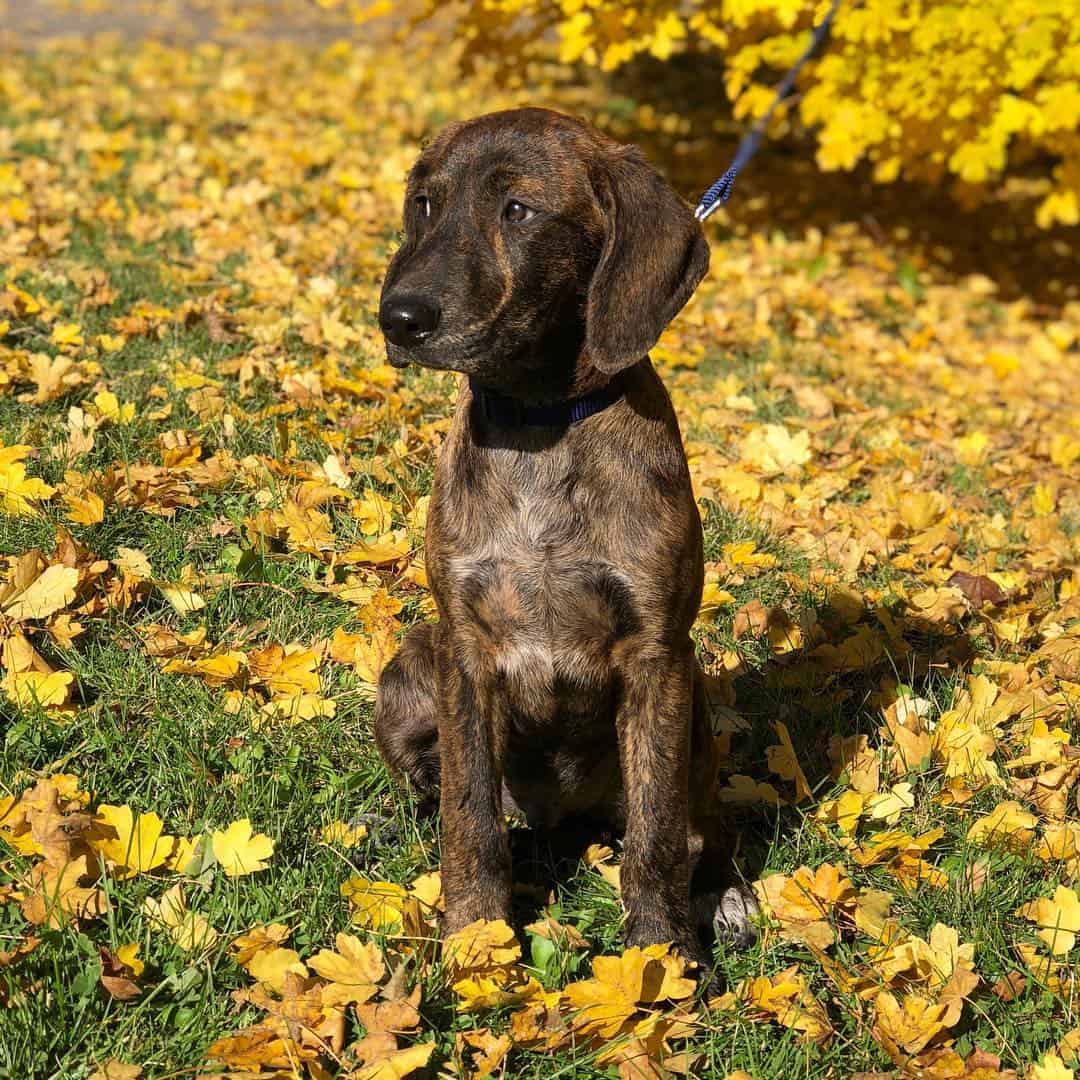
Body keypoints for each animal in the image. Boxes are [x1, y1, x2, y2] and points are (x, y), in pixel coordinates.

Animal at [375, 107, 756, 972]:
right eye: (423, 204)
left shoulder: (656, 655)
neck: (540, 426)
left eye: (518, 210)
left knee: (696, 824)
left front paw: (660, 958)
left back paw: (723, 894)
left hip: (695, 708)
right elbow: (470, 816)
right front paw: (476, 941)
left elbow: (657, 834)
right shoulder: (465, 649)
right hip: (407, 670)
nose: (399, 318)